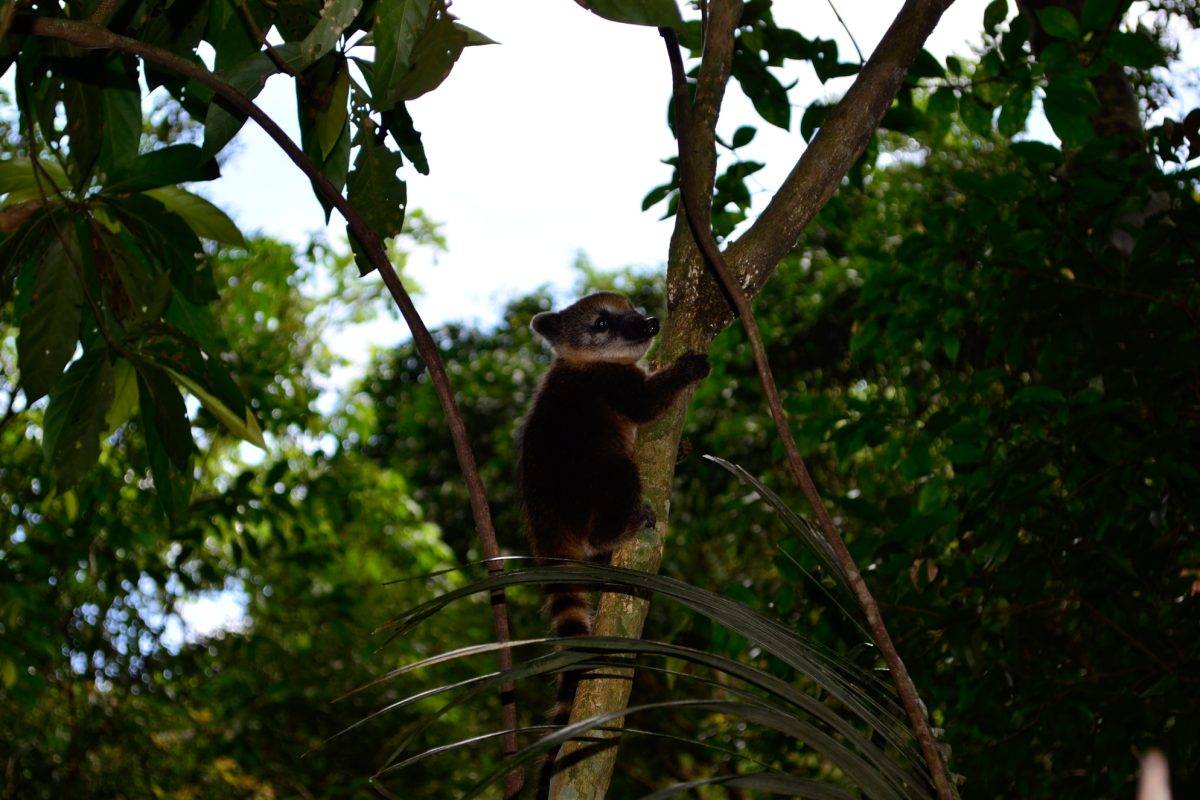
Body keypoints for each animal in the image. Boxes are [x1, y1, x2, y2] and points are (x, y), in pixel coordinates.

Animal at [516, 291, 709, 791]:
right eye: (602, 323)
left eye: (634, 308)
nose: (651, 323)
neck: (583, 359)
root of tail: (547, 530)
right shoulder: (610, 382)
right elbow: (645, 405)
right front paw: (682, 369)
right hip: (590, 486)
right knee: (620, 471)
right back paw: (613, 531)